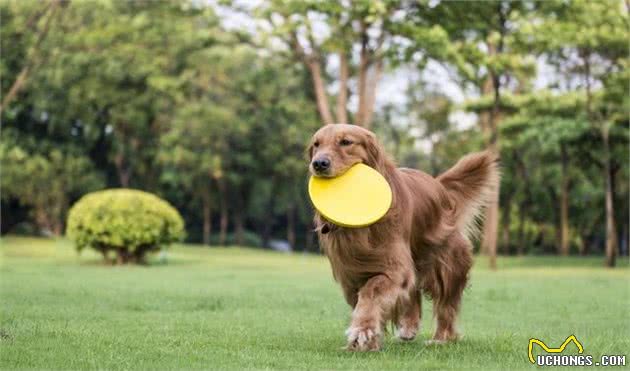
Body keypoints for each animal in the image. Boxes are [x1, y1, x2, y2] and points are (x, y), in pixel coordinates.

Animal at [308, 124, 502, 352]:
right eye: (316, 144)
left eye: (346, 142)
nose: (319, 163)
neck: (360, 229)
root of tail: (439, 185)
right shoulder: (350, 274)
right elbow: (365, 299)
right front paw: (368, 340)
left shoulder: (395, 266)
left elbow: (371, 291)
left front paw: (362, 330)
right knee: (413, 292)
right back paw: (409, 327)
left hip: (445, 264)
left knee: (446, 305)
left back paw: (441, 337)